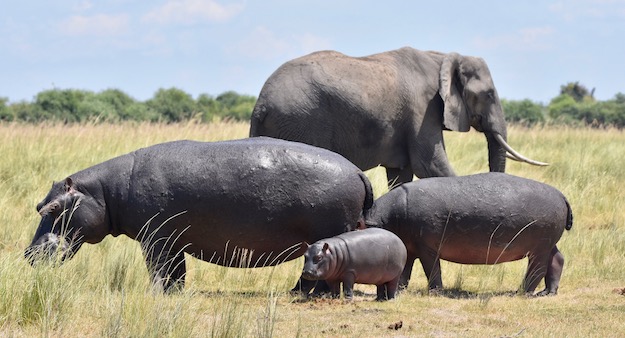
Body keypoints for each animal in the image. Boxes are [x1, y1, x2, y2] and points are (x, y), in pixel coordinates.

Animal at [25, 136, 370, 292]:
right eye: (38, 205)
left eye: (54, 208)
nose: (29, 253)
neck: (106, 191)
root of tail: (356, 170)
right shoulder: (172, 241)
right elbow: (176, 272)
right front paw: (174, 293)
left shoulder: (156, 239)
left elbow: (159, 269)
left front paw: (156, 293)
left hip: (327, 233)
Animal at [249, 46, 544, 186]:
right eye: (489, 94)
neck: (441, 58)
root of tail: (260, 103)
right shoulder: (423, 109)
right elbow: (431, 166)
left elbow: (401, 175)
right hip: (301, 121)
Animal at [366, 173, 576, 298]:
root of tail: (562, 195)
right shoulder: (409, 247)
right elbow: (405, 270)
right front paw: (401, 290)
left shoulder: (427, 248)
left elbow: (432, 269)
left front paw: (435, 292)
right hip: (547, 244)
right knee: (557, 259)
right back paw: (547, 293)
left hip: (539, 247)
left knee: (537, 269)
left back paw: (521, 292)